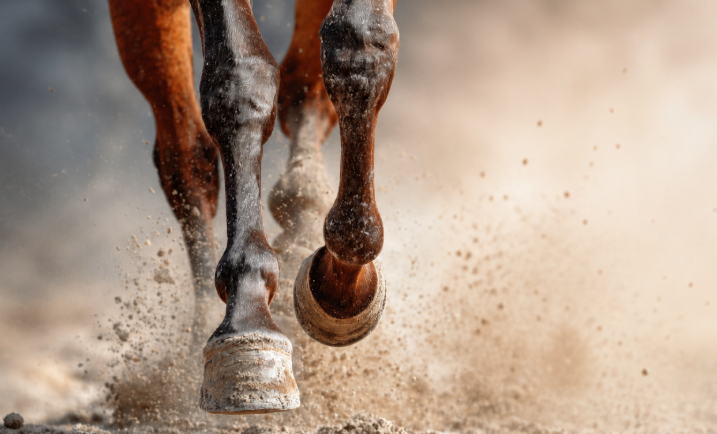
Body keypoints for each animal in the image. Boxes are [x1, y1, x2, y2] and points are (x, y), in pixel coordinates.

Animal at [108, 0, 398, 415]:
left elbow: (359, 43)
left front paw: (342, 283)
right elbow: (240, 78)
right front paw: (248, 319)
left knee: (303, 85)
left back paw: (302, 212)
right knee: (185, 155)